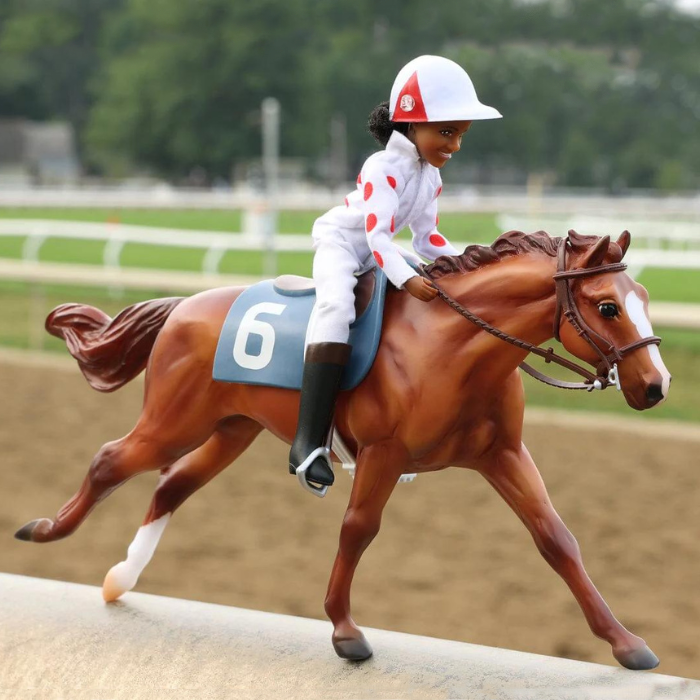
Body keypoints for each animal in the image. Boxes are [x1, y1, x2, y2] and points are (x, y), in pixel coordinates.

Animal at [17, 228, 672, 668]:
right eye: (607, 305)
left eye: (642, 294)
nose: (656, 386)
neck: (449, 342)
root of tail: (183, 305)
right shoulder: (383, 452)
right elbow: (358, 528)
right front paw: (344, 629)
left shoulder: (503, 454)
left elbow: (556, 538)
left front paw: (626, 642)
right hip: (173, 421)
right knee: (112, 459)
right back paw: (46, 530)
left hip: (231, 428)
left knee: (171, 483)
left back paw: (119, 579)